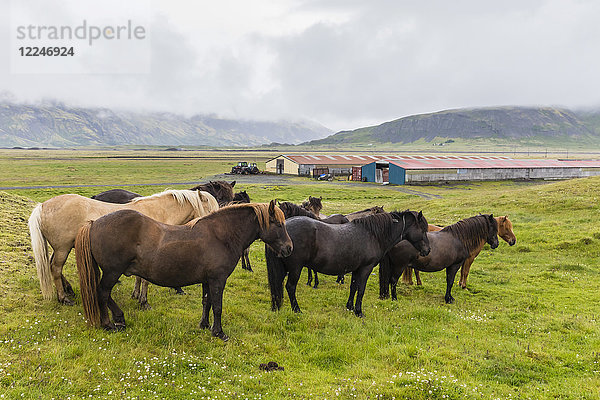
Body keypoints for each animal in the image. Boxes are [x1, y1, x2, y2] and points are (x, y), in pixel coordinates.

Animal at [28, 190, 219, 304]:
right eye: (211, 210)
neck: (159, 212)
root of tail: (43, 206)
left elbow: (139, 278)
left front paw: (136, 295)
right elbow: (145, 280)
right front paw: (143, 301)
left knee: (53, 266)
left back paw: (68, 291)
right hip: (63, 248)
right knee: (56, 268)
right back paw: (63, 298)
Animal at [75, 200, 292, 340]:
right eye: (278, 224)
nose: (289, 248)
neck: (221, 235)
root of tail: (94, 224)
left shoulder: (207, 280)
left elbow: (207, 303)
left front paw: (205, 325)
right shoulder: (218, 280)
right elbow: (218, 306)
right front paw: (219, 332)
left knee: (104, 294)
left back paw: (119, 317)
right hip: (112, 272)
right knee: (102, 293)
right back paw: (108, 324)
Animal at [268, 211, 432, 318]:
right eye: (423, 229)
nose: (428, 250)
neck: (372, 234)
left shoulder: (355, 269)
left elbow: (353, 288)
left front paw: (350, 307)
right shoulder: (366, 268)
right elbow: (361, 290)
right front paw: (359, 312)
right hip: (295, 268)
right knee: (290, 287)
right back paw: (297, 310)